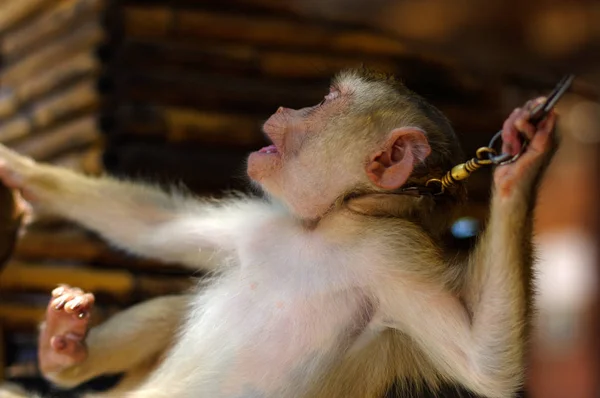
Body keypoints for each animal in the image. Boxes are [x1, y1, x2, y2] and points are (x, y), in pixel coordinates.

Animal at [0, 69, 556, 398]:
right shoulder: (267, 222)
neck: (323, 228)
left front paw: (522, 166)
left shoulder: (390, 253)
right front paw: (18, 169)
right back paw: (63, 353)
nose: (290, 108)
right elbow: (154, 229)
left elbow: (484, 364)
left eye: (326, 101)